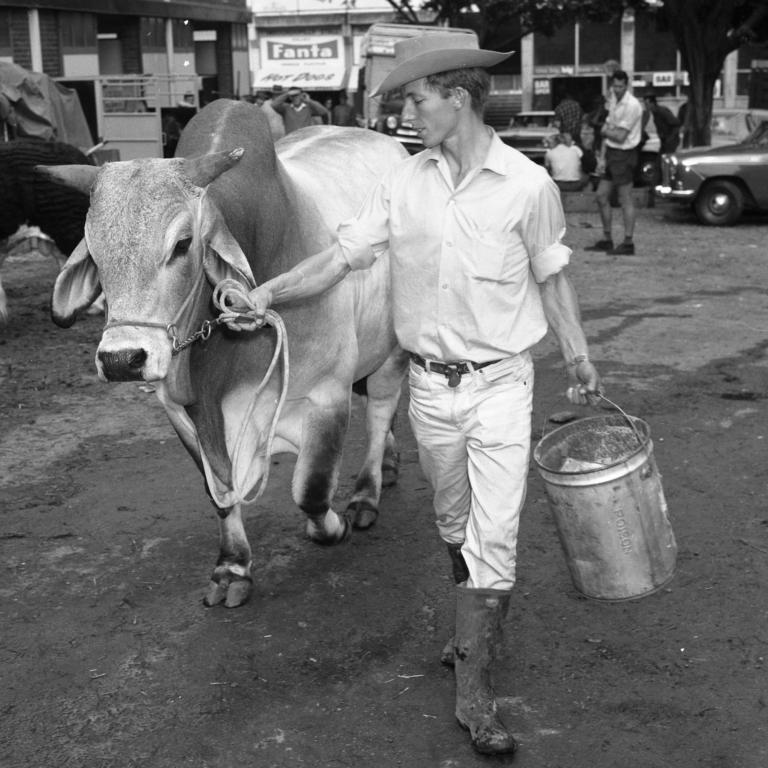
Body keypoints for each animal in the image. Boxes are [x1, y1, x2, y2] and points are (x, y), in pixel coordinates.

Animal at [45, 100, 412, 608]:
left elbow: (311, 490)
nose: (122, 360)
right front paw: (233, 567)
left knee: (380, 412)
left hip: (392, 351)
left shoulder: (327, 396)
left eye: (182, 244)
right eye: (96, 255)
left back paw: (365, 494)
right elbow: (218, 491)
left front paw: (333, 526)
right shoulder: (184, 413)